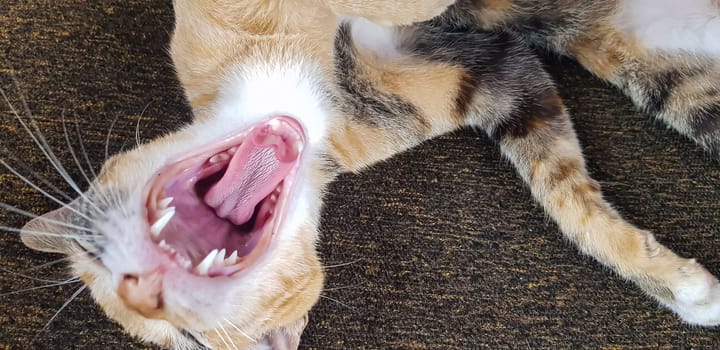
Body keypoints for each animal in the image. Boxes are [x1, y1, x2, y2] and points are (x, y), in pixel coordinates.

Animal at [7, 0, 720, 348]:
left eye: (93, 251)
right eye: (189, 336)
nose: (139, 293)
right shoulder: (503, 78)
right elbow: (564, 190)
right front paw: (686, 292)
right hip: (672, 80)